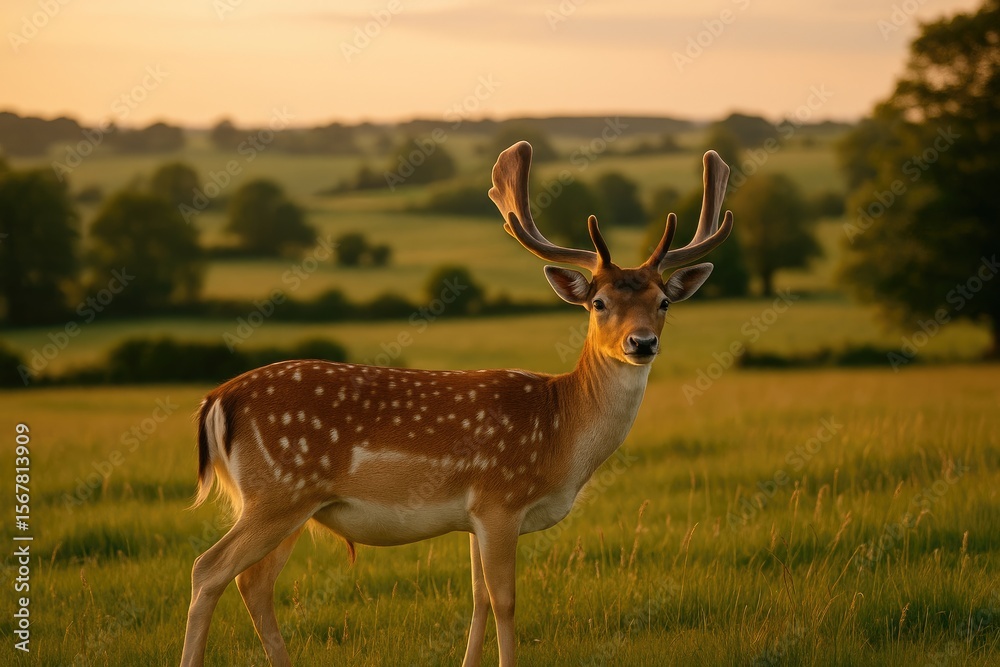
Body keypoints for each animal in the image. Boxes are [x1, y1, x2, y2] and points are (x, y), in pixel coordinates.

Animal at [180, 140, 733, 667]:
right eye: (599, 303)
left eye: (664, 302)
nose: (641, 343)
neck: (560, 432)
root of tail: (216, 401)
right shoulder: (500, 499)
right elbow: (506, 600)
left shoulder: (475, 516)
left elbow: (478, 597)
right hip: (279, 491)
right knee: (209, 568)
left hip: (289, 504)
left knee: (253, 583)